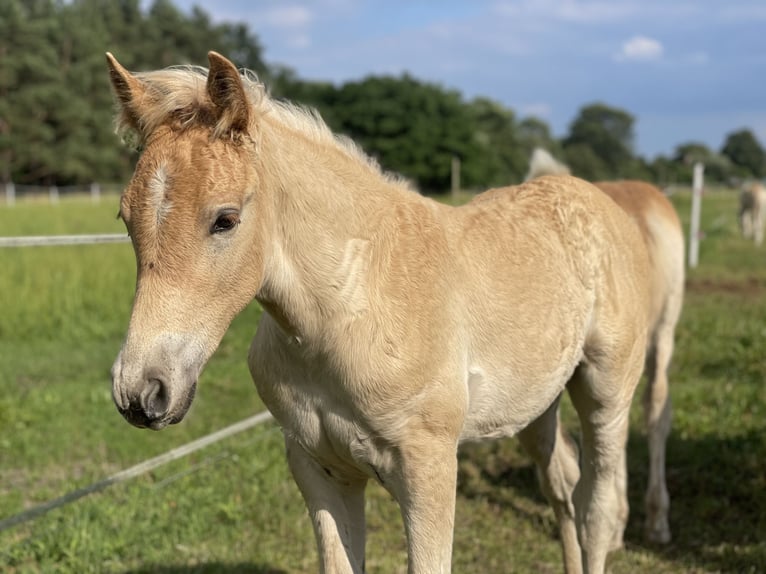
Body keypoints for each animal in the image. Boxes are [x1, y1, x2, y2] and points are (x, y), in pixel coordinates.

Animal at [105, 51, 652, 572]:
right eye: (125, 217)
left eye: (225, 219)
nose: (142, 392)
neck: (350, 310)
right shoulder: (319, 468)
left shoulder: (429, 469)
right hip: (536, 405)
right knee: (563, 484)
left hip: (606, 393)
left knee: (597, 508)